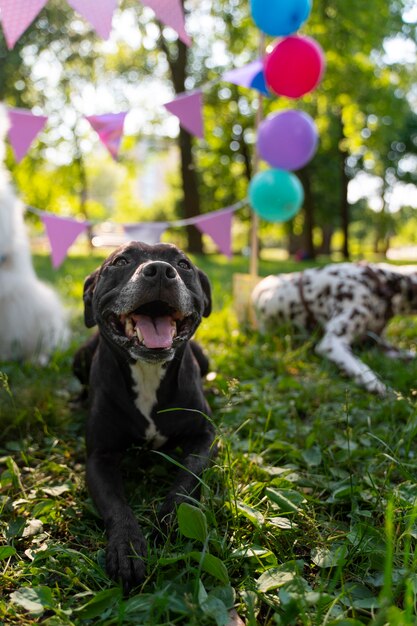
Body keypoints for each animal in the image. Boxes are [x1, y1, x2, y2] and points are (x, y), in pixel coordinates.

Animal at [73, 239, 214, 588]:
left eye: (183, 264)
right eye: (120, 261)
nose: (161, 271)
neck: (149, 373)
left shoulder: (205, 437)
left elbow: (188, 476)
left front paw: (173, 517)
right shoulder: (99, 457)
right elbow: (115, 504)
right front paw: (127, 546)